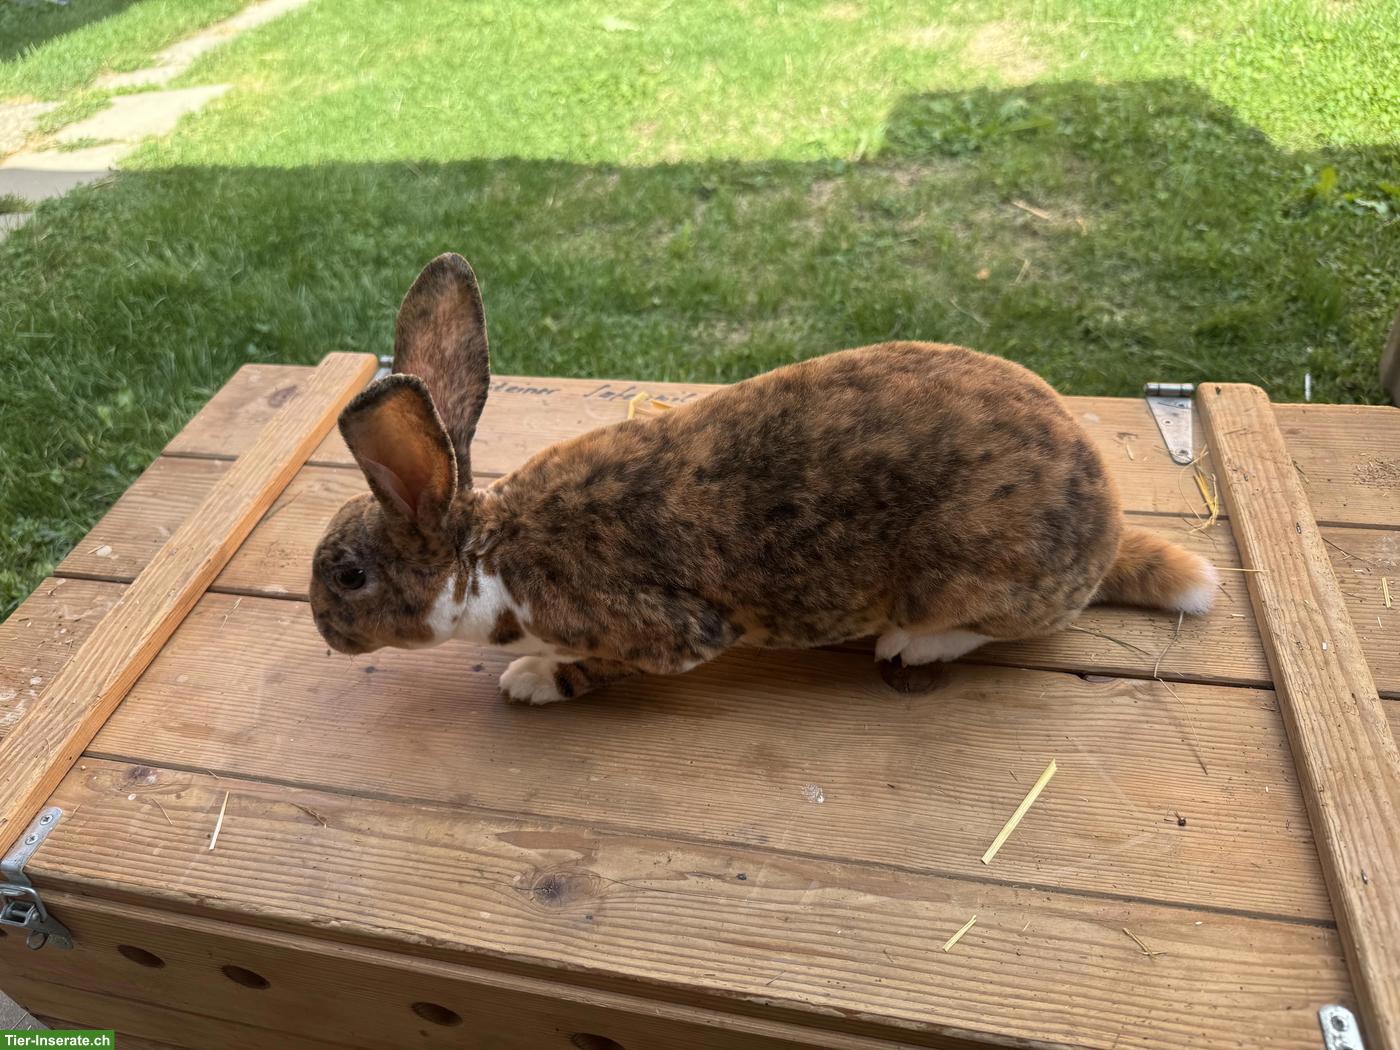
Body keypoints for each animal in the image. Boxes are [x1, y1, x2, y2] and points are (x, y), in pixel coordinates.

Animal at [310, 253, 1217, 704]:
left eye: (348, 576)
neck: (487, 556)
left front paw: (532, 680)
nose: (323, 632)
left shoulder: (666, 633)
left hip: (971, 577)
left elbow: (601, 664)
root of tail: (1105, 526)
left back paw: (906, 643)